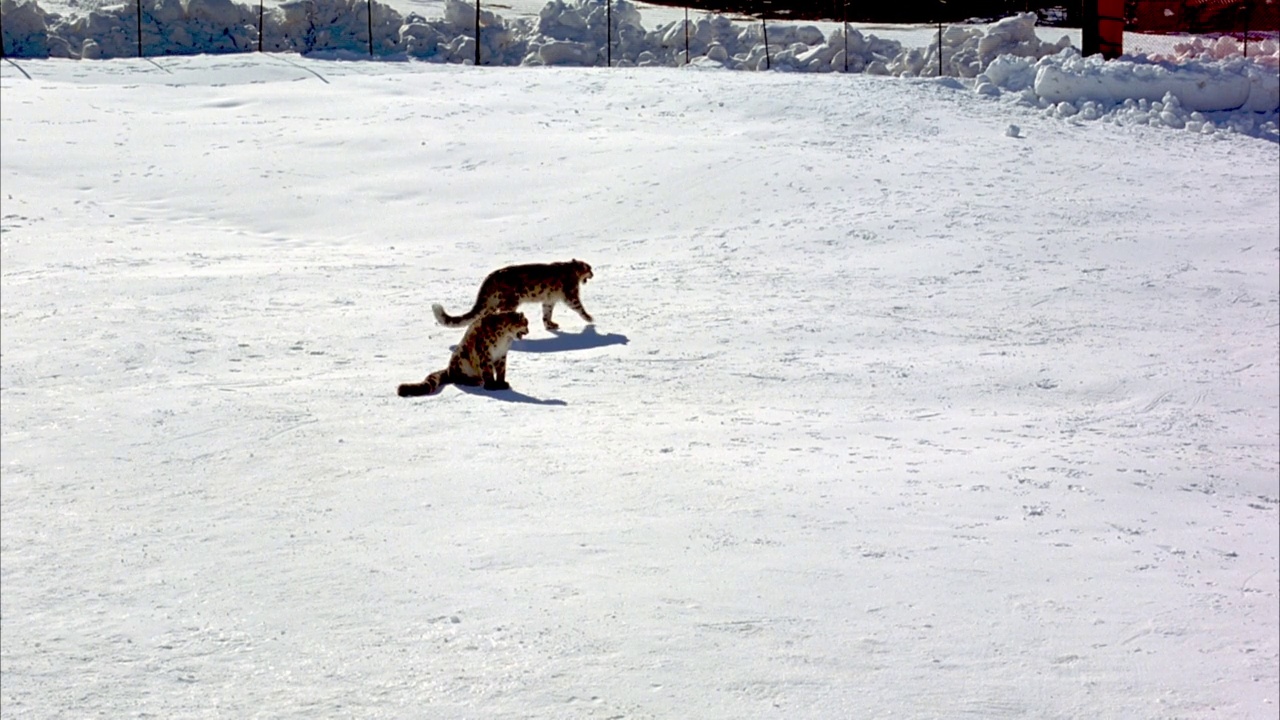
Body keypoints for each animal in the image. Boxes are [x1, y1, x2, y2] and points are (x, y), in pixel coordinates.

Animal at [394, 310, 524, 394]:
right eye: (526, 323)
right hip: (462, 361)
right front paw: (491, 385)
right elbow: (487, 371)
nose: (527, 330)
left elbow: (501, 370)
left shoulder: (501, 355)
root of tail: (448, 368)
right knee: (458, 378)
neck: (505, 338)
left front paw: (501, 383)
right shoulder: (484, 353)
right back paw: (475, 381)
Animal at [430, 258, 588, 333]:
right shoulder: (571, 295)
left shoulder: (548, 301)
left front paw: (550, 325)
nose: (592, 273)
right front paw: (590, 319)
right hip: (510, 300)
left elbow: (546, 314)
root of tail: (492, 275)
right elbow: (580, 307)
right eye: (589, 268)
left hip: (491, 304)